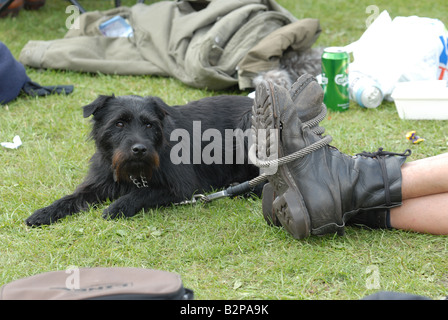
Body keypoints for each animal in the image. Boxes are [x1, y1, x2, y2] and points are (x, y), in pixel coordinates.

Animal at [24, 94, 260, 226]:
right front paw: (45, 212)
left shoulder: (180, 189)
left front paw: (119, 206)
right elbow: (71, 198)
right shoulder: (99, 185)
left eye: (149, 124)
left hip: (248, 123)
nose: (139, 149)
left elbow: (143, 192)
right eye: (119, 123)